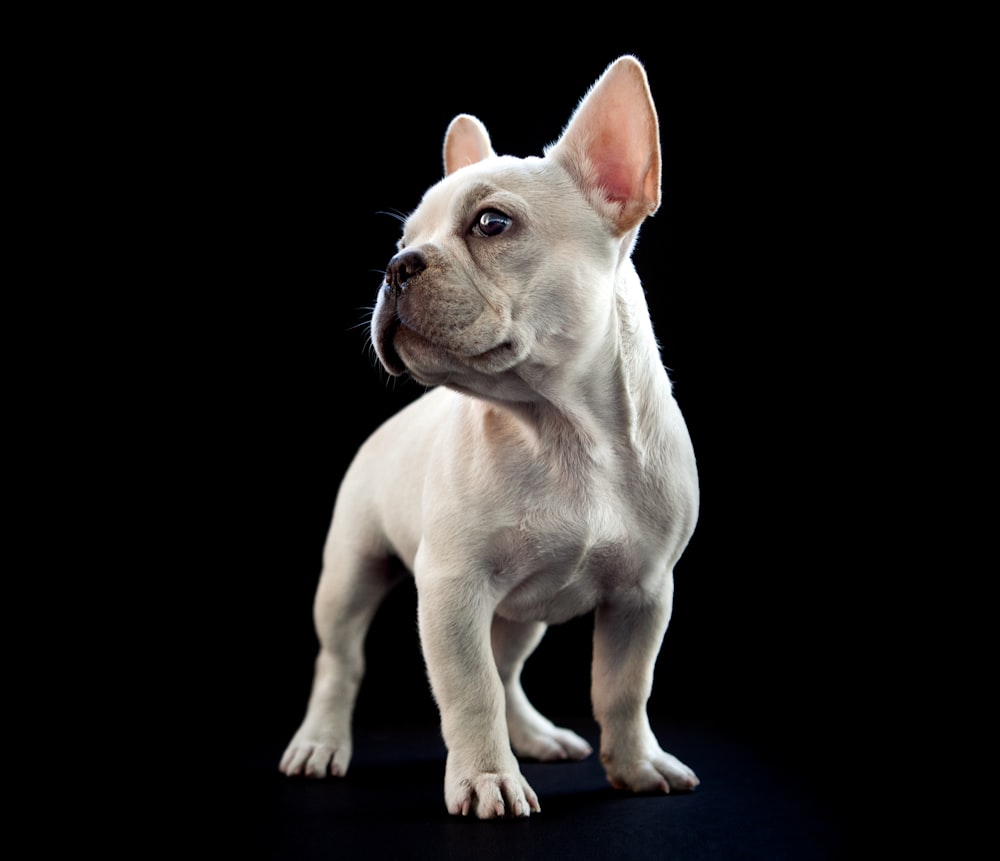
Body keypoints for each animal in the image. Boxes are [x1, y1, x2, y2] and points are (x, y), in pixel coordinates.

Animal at [280, 55, 704, 820]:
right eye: (401, 242)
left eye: (491, 223)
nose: (397, 265)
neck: (558, 427)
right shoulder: (453, 591)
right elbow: (468, 690)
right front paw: (484, 776)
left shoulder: (645, 593)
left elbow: (624, 688)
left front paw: (635, 763)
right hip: (352, 568)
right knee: (343, 659)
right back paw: (321, 741)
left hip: (525, 608)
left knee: (507, 666)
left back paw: (535, 735)